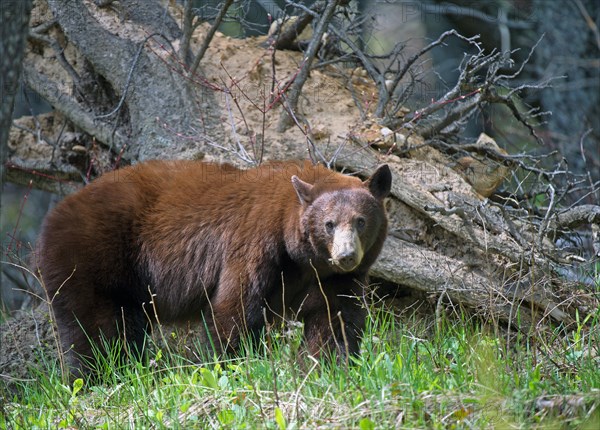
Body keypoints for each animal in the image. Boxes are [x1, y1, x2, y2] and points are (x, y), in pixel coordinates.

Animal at [35, 159, 392, 376]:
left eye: (360, 221)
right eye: (329, 224)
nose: (346, 255)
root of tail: (54, 215)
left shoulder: (331, 278)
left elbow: (334, 318)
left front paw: (329, 366)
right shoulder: (255, 244)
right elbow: (235, 308)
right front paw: (234, 366)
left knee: (125, 326)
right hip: (92, 259)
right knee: (95, 330)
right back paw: (100, 376)